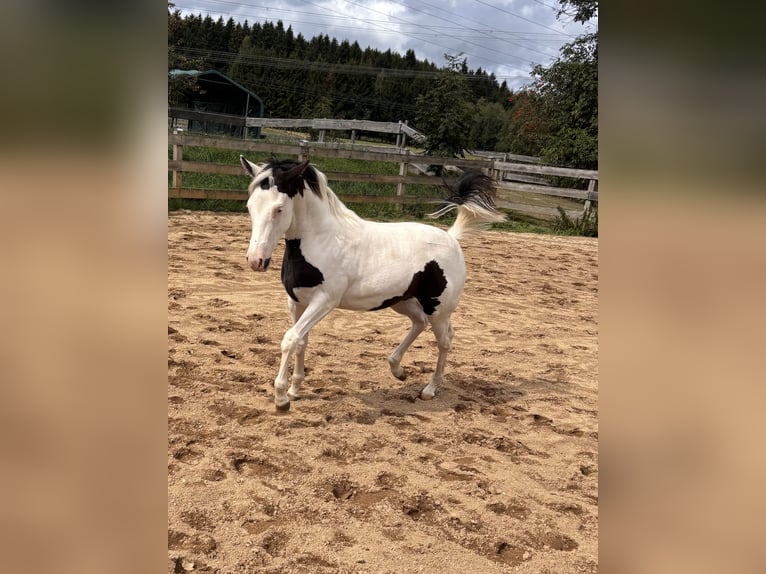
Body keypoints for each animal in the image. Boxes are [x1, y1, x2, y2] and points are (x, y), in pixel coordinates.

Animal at [239, 156, 506, 411]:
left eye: (279, 209)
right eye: (250, 206)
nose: (256, 261)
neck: (323, 241)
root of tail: (451, 238)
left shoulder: (324, 302)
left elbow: (290, 339)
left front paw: (282, 398)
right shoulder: (295, 301)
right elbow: (301, 341)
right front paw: (295, 390)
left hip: (438, 309)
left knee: (445, 340)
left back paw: (430, 389)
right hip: (402, 301)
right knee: (419, 323)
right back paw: (397, 370)